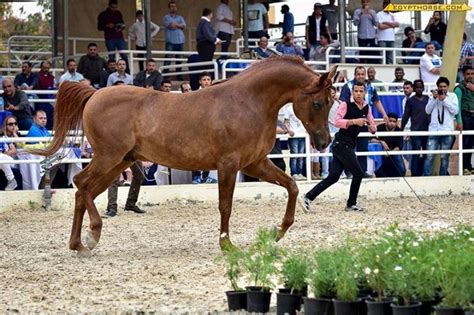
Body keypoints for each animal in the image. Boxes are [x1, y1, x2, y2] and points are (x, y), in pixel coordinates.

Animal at [36, 56, 336, 256]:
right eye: (318, 103)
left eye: (331, 101)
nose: (324, 142)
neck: (248, 102)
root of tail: (95, 94)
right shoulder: (228, 165)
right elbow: (225, 206)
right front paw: (227, 245)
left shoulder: (255, 163)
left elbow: (292, 186)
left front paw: (278, 231)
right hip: (108, 158)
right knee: (81, 184)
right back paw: (93, 234)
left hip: (118, 162)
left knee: (82, 191)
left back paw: (79, 244)